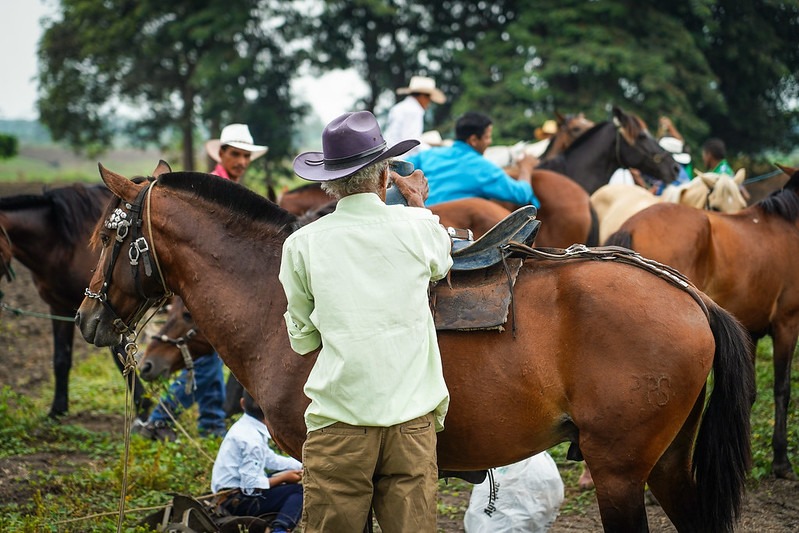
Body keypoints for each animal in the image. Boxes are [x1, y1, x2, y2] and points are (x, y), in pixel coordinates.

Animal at [0, 183, 152, 420]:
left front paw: (144, 407)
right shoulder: (60, 307)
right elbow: (61, 358)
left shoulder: (108, 313)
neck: (61, 244)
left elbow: (121, 356)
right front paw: (57, 409)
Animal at [608, 163, 799, 478]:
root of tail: (632, 224)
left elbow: (748, 393)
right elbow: (782, 390)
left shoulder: (751, 331)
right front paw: (781, 460)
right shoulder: (787, 324)